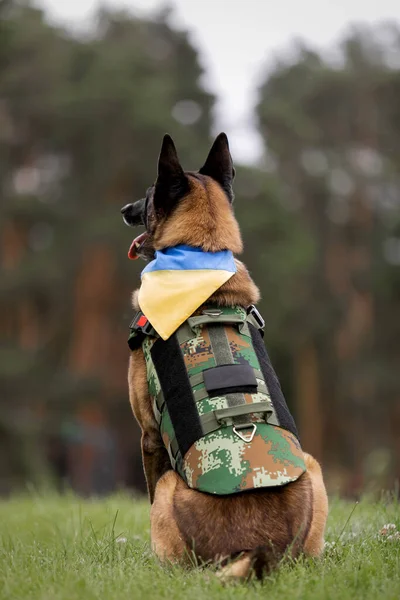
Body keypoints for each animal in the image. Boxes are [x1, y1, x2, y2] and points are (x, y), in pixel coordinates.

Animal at [122, 134, 328, 580]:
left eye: (147, 194)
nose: (124, 210)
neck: (199, 252)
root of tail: (256, 546)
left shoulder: (148, 436)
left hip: (169, 488)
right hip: (315, 469)